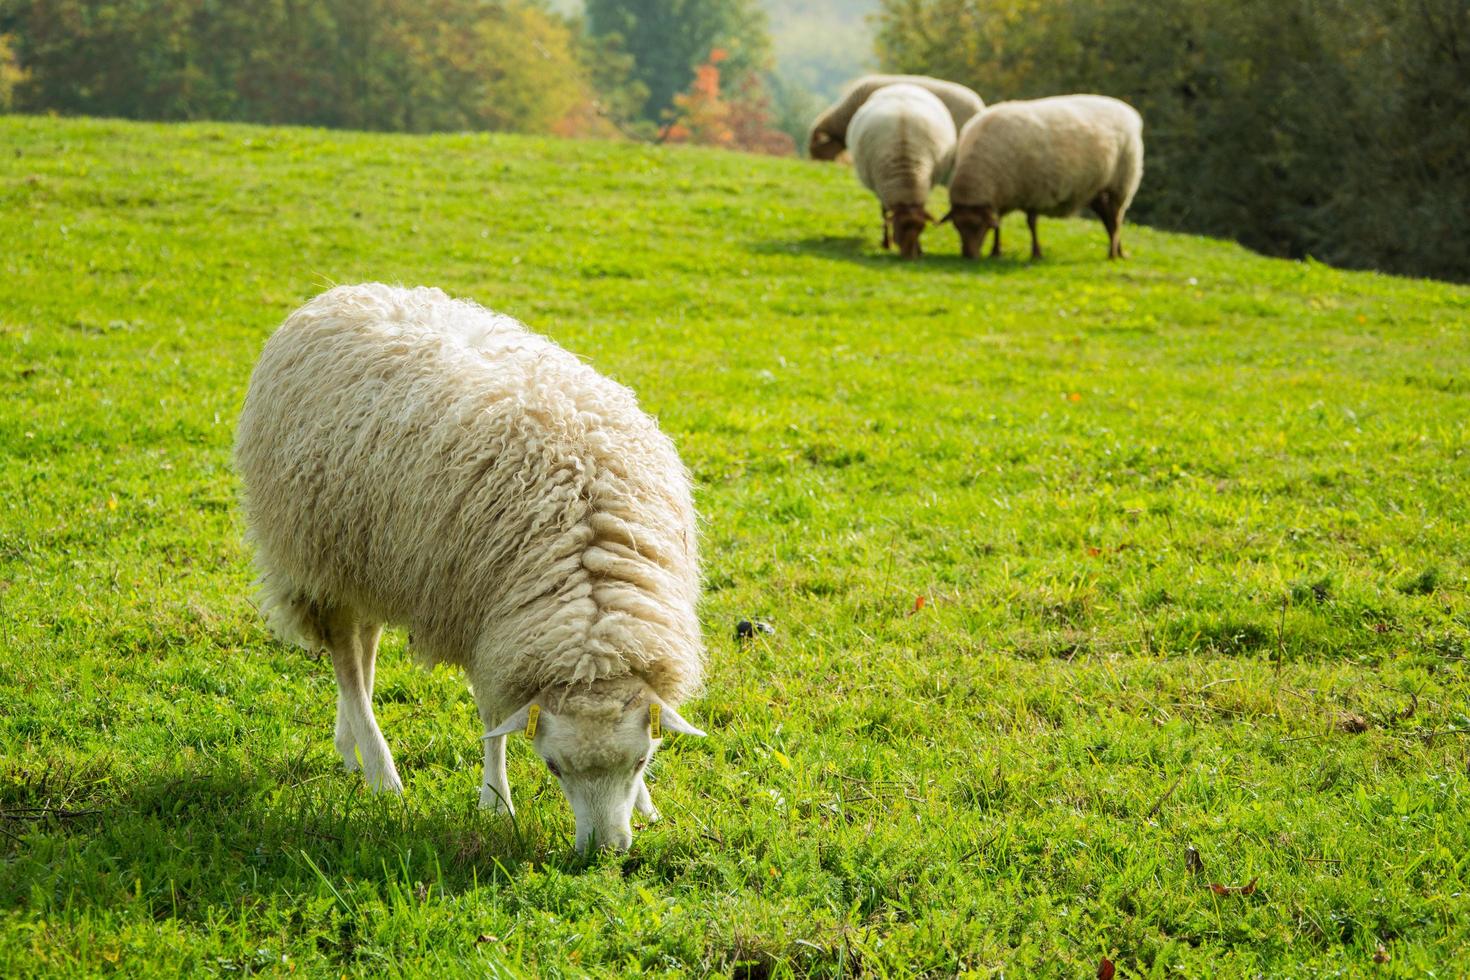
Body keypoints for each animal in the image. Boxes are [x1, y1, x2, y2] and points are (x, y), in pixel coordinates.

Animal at [235, 283, 705, 852]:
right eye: (553, 768)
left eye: (640, 761)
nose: (605, 852)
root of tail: (344, 292)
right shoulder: (484, 620)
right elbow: (492, 719)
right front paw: (495, 801)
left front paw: (646, 806)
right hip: (319, 557)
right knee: (346, 660)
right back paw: (381, 773)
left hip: (368, 556)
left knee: (364, 649)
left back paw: (349, 749)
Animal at [846, 81, 958, 257]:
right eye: (899, 227)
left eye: (921, 229)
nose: (910, 257)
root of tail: (903, 85)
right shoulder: (881, 188)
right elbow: (885, 214)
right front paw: (886, 243)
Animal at [940, 92, 1146, 258]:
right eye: (956, 226)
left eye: (977, 226)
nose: (969, 255)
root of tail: (1129, 112)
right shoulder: (1003, 196)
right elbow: (999, 224)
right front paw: (995, 252)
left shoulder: (1034, 191)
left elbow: (1031, 223)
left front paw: (1036, 253)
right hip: (1095, 190)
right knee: (1109, 219)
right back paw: (1119, 251)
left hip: (1121, 184)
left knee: (1116, 219)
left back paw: (1113, 254)